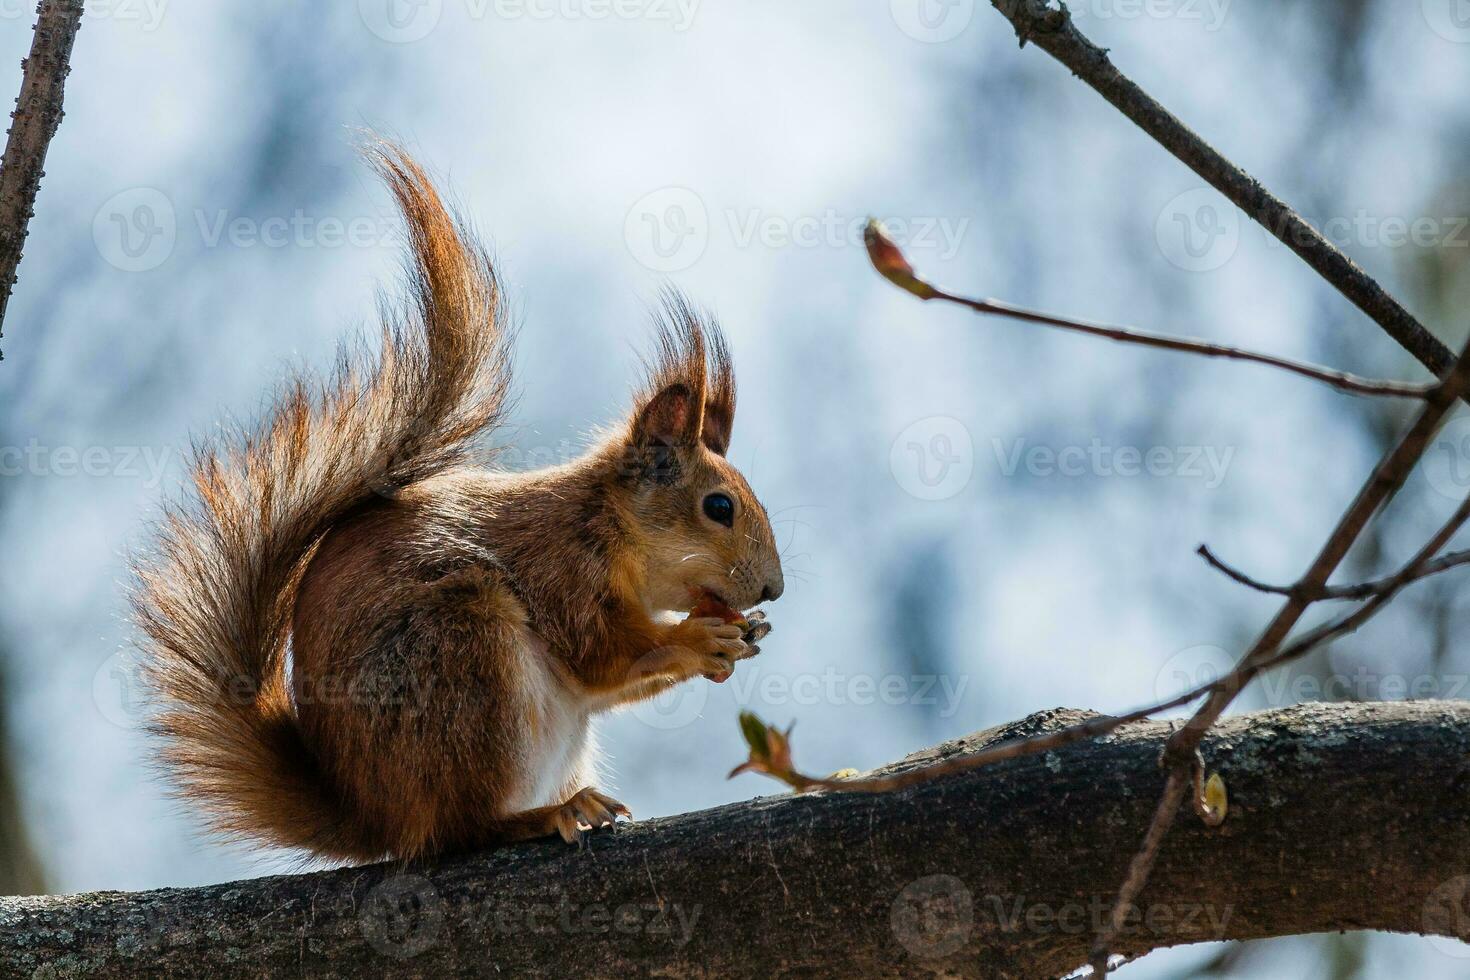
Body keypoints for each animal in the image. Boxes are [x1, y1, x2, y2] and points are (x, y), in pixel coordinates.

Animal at [132, 141, 787, 863]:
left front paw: (741, 637)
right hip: (463, 660)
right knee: (459, 828)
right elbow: (601, 657)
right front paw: (697, 639)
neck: (608, 526)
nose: (773, 589)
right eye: (719, 508)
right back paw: (545, 813)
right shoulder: (562, 570)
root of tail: (376, 820)